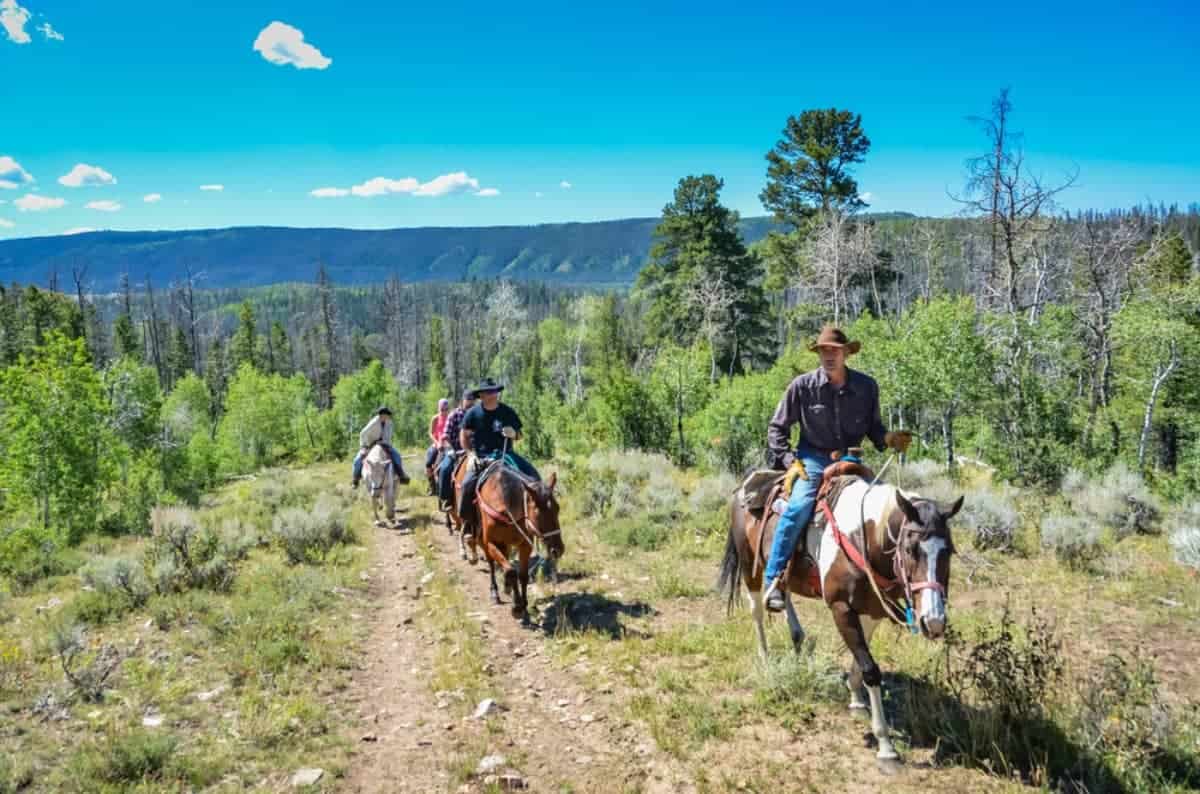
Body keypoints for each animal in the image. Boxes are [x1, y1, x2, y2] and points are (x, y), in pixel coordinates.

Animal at [472, 462, 561, 623]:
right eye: (538, 514)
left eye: (558, 508)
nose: (558, 549)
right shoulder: (491, 542)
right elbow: (511, 571)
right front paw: (517, 607)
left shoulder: (525, 545)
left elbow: (522, 575)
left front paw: (524, 606)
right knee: (492, 564)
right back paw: (495, 591)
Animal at [715, 474, 960, 767]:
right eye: (911, 549)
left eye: (949, 551)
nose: (933, 622)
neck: (862, 536)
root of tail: (745, 485)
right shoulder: (841, 608)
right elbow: (870, 669)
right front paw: (885, 746)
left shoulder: (873, 610)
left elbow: (862, 659)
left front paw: (856, 698)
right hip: (749, 564)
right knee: (756, 611)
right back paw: (765, 657)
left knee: (784, 595)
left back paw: (797, 636)